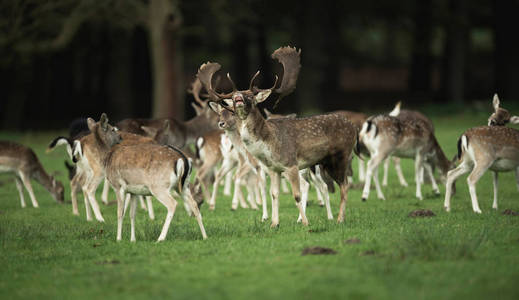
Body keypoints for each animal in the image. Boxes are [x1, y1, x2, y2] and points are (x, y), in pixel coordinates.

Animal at [199, 46, 358, 225]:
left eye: (250, 96)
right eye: (233, 98)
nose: (238, 98)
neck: (268, 144)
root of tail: (354, 128)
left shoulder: (291, 164)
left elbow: (296, 195)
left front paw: (305, 222)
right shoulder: (273, 169)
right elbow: (274, 194)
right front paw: (274, 223)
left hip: (340, 157)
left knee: (344, 185)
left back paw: (339, 219)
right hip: (323, 164)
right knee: (333, 185)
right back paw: (333, 217)